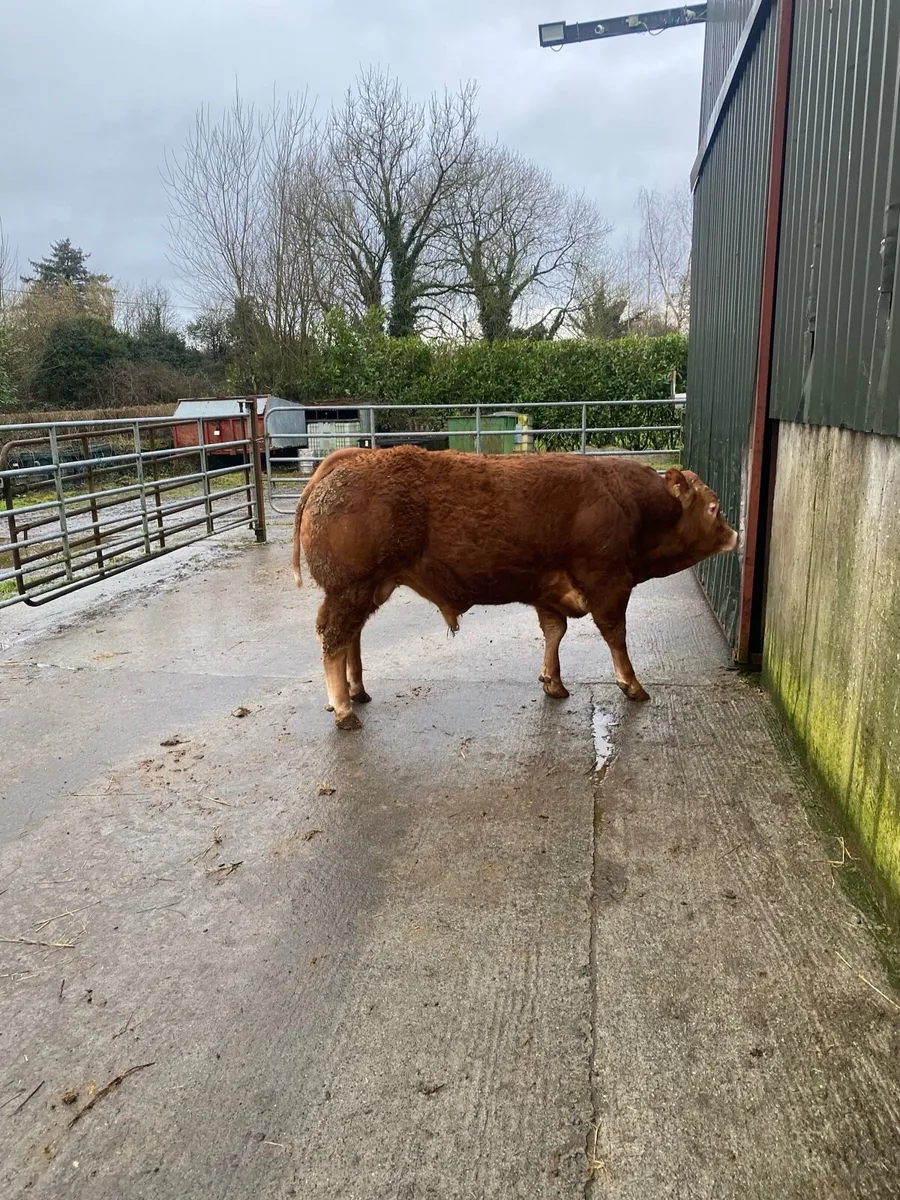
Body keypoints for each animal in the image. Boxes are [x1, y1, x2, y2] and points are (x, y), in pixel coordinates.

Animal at [292, 446, 738, 730]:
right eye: (714, 507)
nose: (735, 534)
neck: (628, 503)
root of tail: (346, 461)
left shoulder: (549, 592)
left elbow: (555, 632)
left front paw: (553, 682)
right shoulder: (609, 584)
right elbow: (616, 636)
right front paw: (632, 685)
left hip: (365, 590)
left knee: (350, 638)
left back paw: (357, 691)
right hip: (349, 589)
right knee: (333, 639)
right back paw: (344, 709)